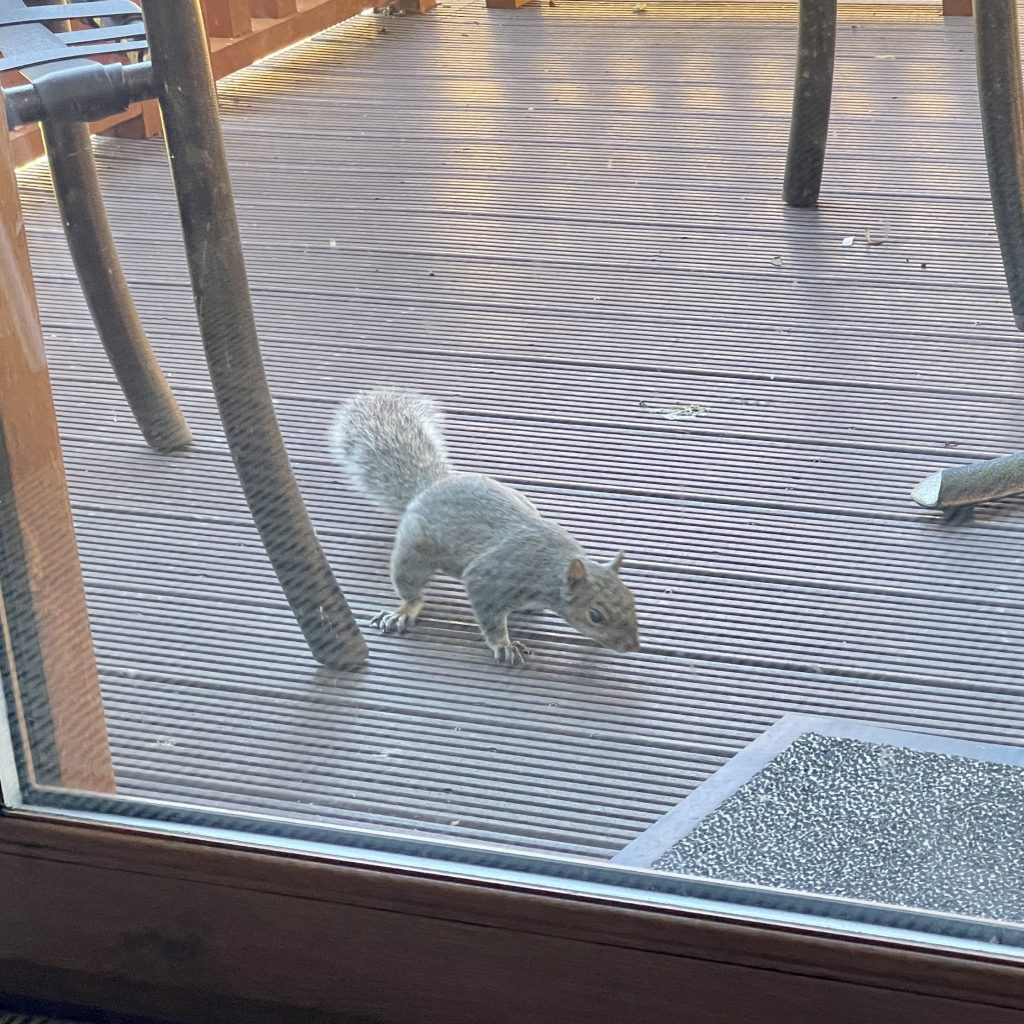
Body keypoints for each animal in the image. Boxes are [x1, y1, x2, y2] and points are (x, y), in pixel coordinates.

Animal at [327, 389, 634, 663]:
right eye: (596, 615)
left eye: (631, 600)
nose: (632, 646)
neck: (550, 569)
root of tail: (431, 485)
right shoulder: (490, 578)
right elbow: (490, 616)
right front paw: (504, 645)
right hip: (413, 552)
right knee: (411, 587)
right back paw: (405, 610)